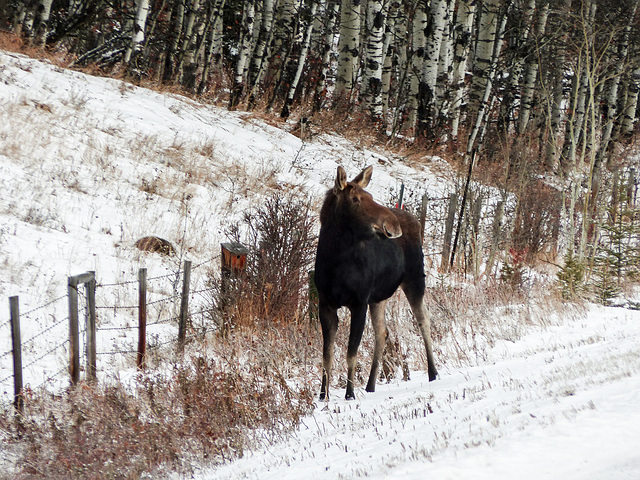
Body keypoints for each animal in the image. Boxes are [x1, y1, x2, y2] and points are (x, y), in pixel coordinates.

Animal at [314, 167, 438, 400]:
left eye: (370, 196)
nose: (393, 225)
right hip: (379, 297)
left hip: (415, 278)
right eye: (355, 199)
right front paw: (322, 395)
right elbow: (327, 355)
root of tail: (417, 221)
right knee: (382, 332)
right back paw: (370, 385)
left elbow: (351, 353)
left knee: (423, 319)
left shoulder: (358, 303)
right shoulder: (325, 304)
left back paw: (433, 373)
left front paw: (350, 394)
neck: (335, 261)